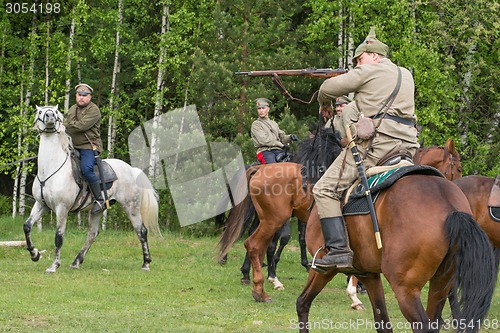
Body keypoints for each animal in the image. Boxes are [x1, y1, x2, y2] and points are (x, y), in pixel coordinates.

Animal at [23, 106, 160, 272]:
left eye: (55, 112)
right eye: (40, 112)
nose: (49, 116)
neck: (50, 169)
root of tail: (132, 170)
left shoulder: (62, 208)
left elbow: (58, 237)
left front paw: (54, 265)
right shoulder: (41, 204)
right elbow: (27, 227)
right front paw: (34, 254)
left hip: (131, 207)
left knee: (141, 231)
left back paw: (146, 263)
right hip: (98, 210)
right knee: (93, 234)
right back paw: (76, 261)